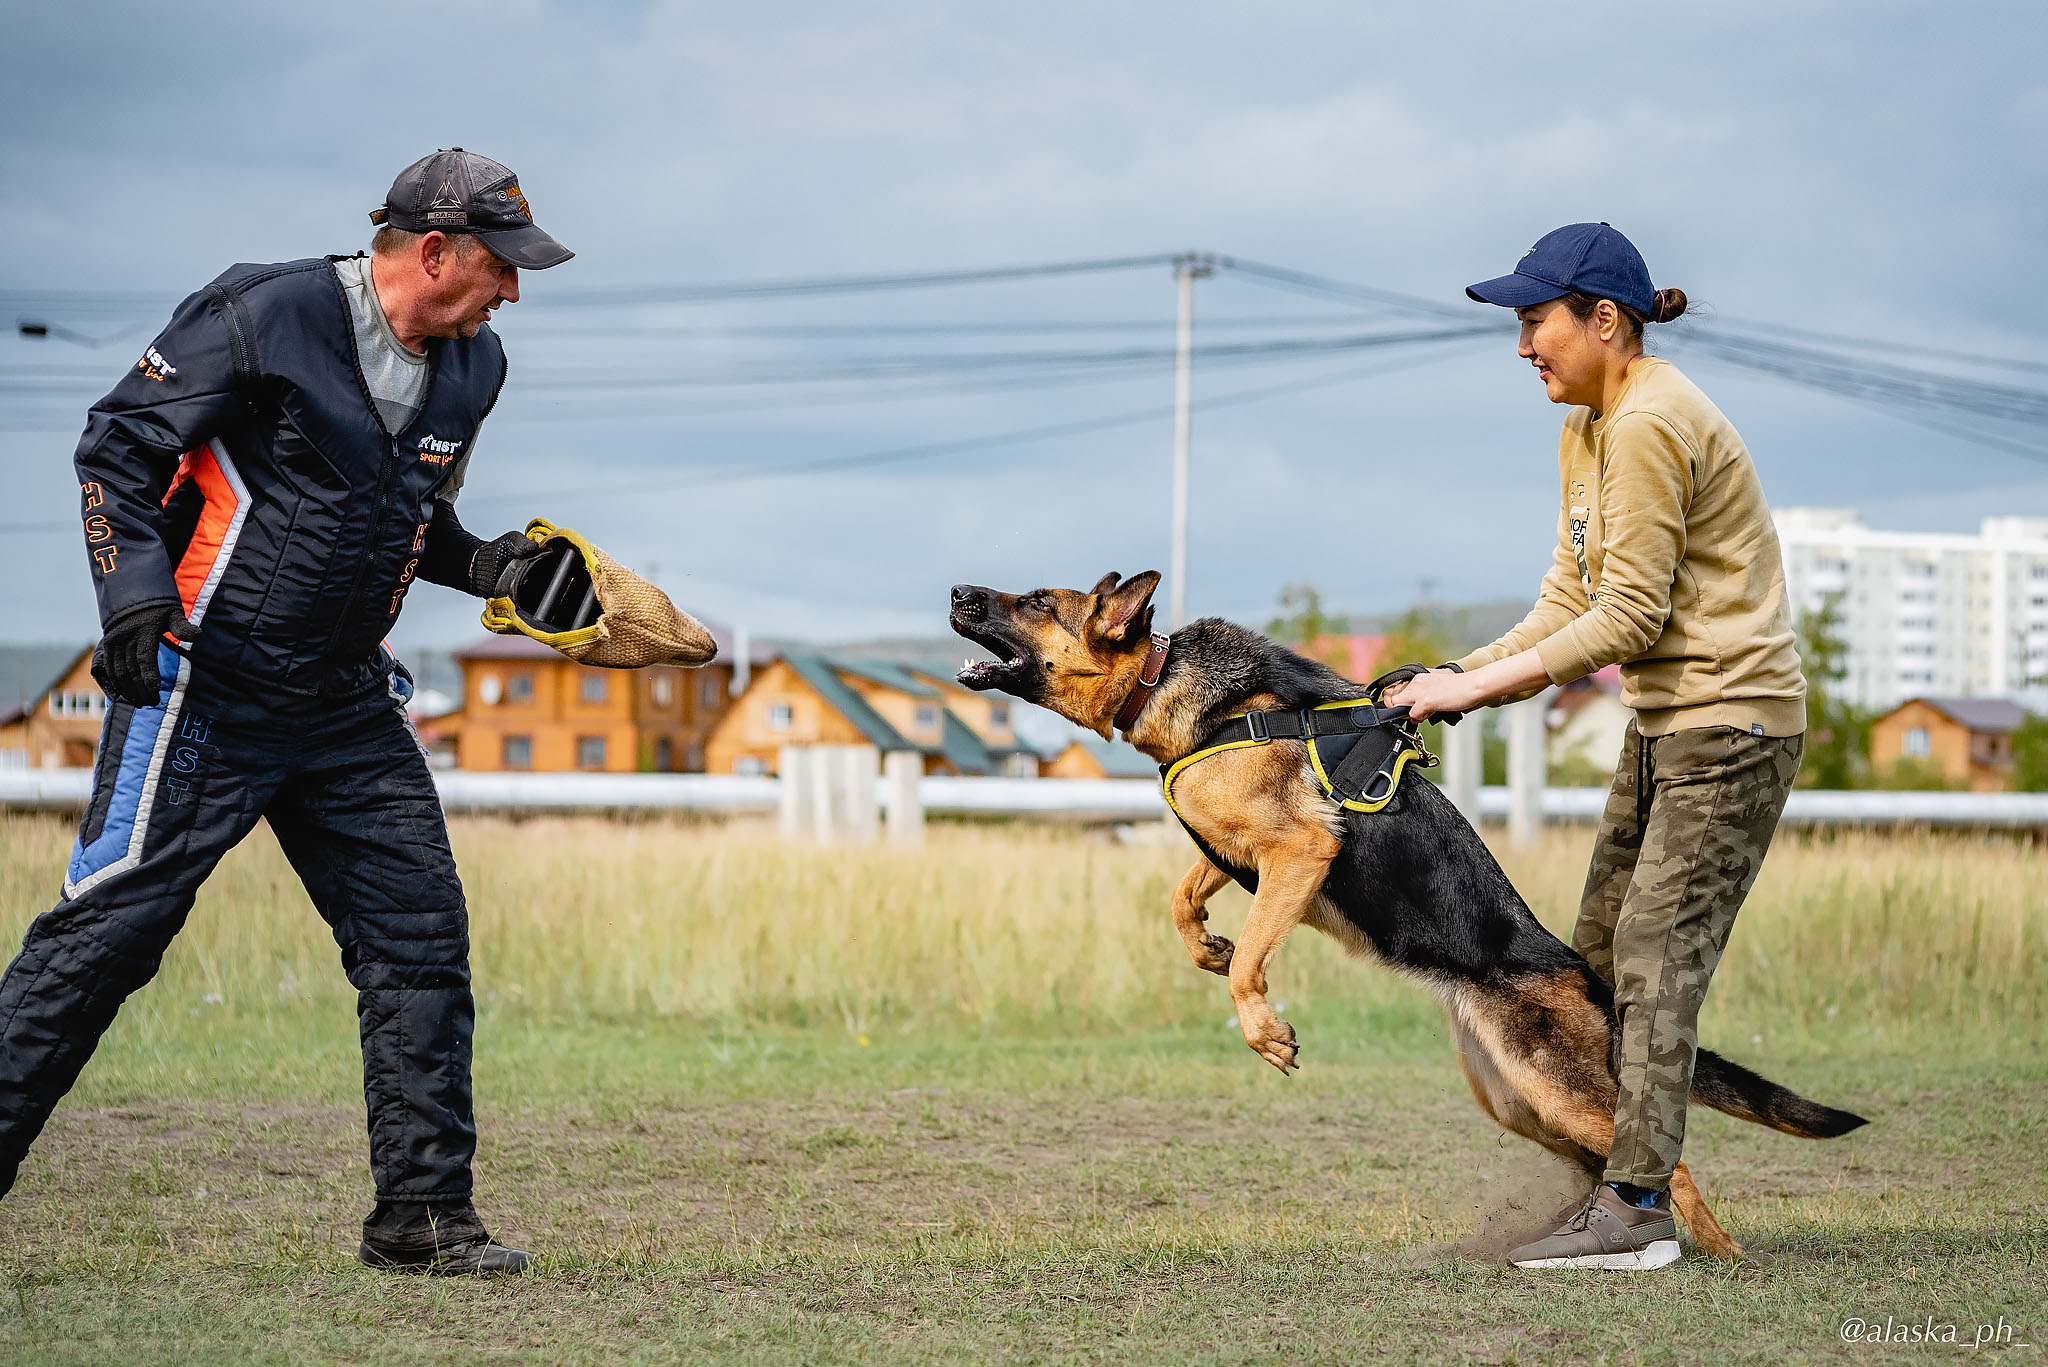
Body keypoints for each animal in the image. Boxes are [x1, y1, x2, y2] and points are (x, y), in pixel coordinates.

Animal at [950, 565, 1867, 1262]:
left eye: (1036, 601)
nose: (958, 590)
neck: (1167, 681)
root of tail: (1587, 977)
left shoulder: (1299, 852)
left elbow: (1250, 961)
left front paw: (1263, 1027)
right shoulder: (1246, 856)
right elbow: (1182, 898)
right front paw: (1204, 945)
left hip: (1553, 1089)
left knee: (1667, 1163)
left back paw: (1714, 1250)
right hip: (1518, 1100)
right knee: (1611, 1155)